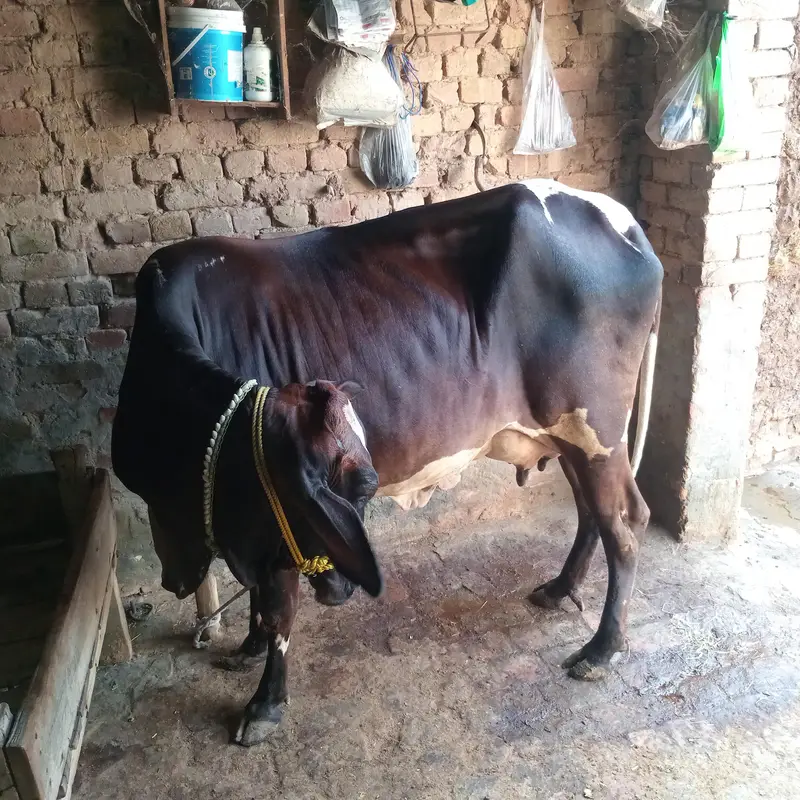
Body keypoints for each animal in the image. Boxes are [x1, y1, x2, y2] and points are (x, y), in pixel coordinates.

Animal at [111, 178, 663, 746]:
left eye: (361, 490)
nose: (342, 588)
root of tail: (623, 222)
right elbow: (259, 598)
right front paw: (248, 647)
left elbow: (279, 610)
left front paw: (265, 703)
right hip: (572, 435)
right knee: (592, 513)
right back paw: (559, 589)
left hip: (598, 429)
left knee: (625, 525)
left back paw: (602, 649)